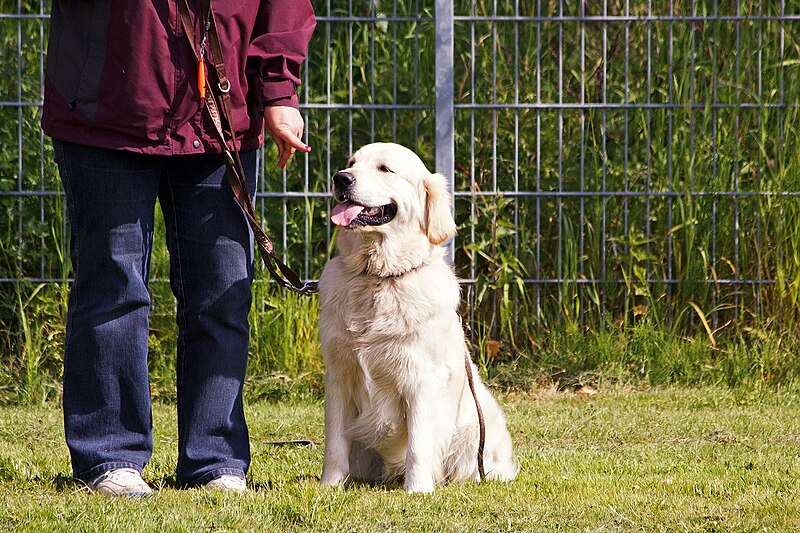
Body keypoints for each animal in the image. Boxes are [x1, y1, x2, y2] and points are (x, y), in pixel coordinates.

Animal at [318, 141, 520, 490]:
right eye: (352, 162)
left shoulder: (423, 378)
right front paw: (328, 487)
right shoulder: (339, 374)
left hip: (476, 431)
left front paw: (418, 490)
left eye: (385, 168)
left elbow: (419, 444)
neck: (379, 277)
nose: (341, 178)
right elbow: (334, 444)